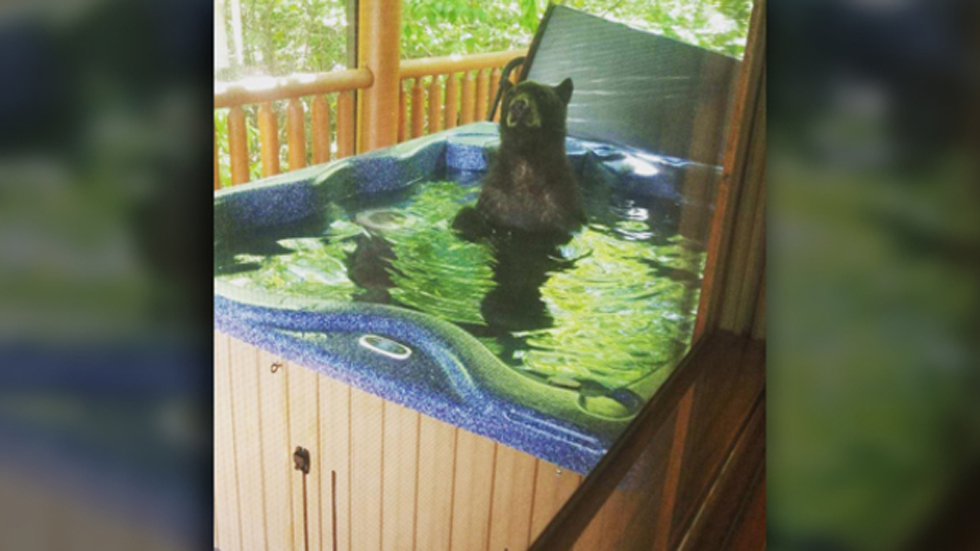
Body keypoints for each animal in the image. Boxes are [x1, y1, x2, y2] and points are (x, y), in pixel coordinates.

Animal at [453, 77, 585, 240]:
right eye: (511, 94)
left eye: (542, 95)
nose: (518, 105)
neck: (526, 158)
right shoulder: (495, 199)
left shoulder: (559, 205)